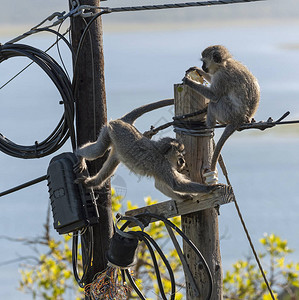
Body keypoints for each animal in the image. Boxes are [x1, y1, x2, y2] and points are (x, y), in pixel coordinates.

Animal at [75, 99, 225, 202]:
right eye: (180, 155)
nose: (182, 161)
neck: (163, 153)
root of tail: (124, 122)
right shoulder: (162, 166)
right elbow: (175, 184)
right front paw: (209, 188)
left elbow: (160, 185)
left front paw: (185, 197)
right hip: (110, 129)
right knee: (99, 150)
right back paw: (79, 154)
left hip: (116, 144)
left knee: (111, 163)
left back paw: (92, 183)